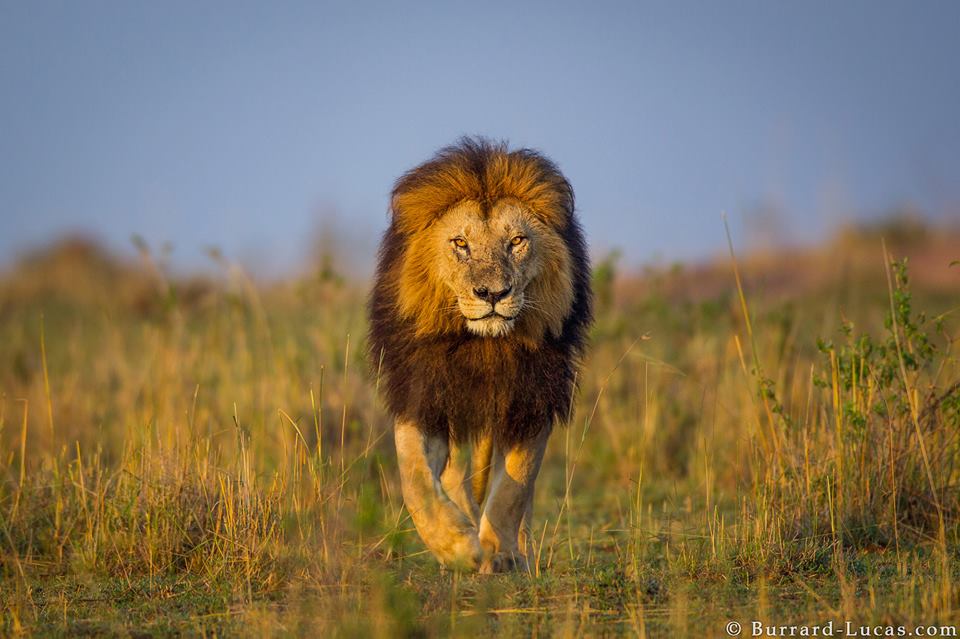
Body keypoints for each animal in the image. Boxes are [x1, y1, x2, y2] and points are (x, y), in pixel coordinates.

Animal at [370, 136, 588, 576]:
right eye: (461, 244)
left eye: (516, 241)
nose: (493, 294)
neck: (484, 345)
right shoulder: (423, 396)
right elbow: (415, 480)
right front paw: (458, 547)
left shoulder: (531, 398)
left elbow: (514, 486)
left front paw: (500, 552)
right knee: (454, 476)